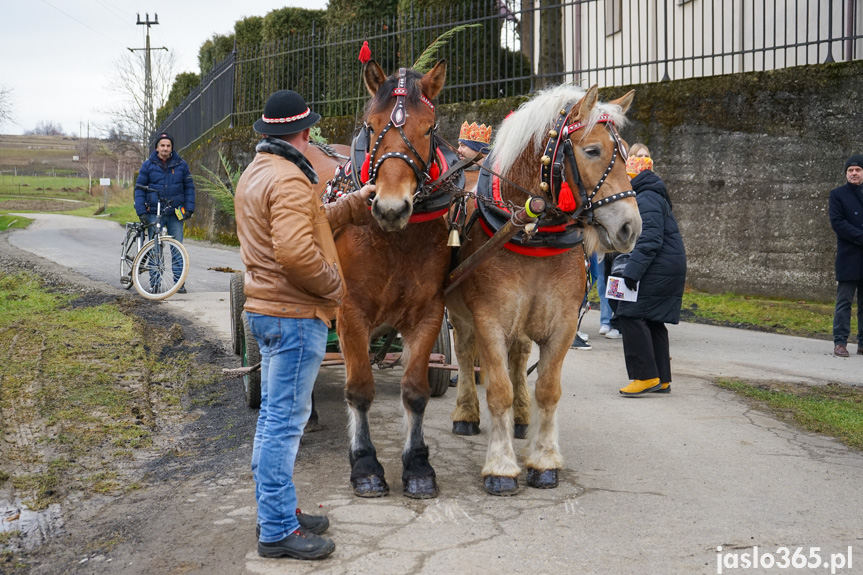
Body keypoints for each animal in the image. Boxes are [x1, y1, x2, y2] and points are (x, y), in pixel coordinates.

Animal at [308, 59, 460, 500]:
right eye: (372, 126)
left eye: (428, 128)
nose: (391, 208)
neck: (396, 238)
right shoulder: (350, 313)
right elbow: (360, 389)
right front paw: (365, 464)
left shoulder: (428, 312)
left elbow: (415, 391)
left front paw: (418, 465)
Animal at [446, 84, 640, 496]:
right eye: (592, 150)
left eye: (626, 152)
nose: (631, 228)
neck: (532, 235)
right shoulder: (488, 321)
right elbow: (497, 391)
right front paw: (501, 465)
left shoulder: (563, 322)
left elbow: (548, 390)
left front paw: (544, 460)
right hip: (461, 313)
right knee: (466, 352)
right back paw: (466, 412)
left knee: (520, 358)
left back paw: (522, 417)